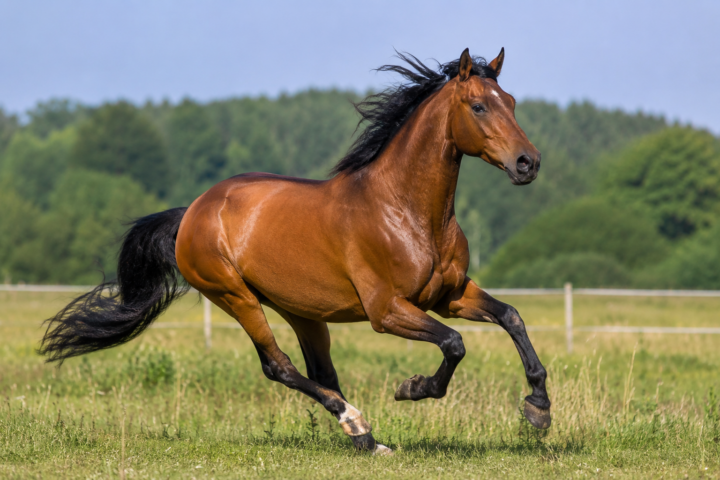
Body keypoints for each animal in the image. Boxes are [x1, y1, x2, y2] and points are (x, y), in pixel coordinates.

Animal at [40, 48, 550, 455]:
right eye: (479, 106)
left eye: (512, 103)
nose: (528, 163)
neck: (406, 211)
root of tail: (192, 212)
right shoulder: (387, 310)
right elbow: (454, 343)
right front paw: (413, 388)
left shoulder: (449, 295)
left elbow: (510, 317)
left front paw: (539, 408)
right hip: (235, 297)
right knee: (279, 366)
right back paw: (356, 422)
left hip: (302, 309)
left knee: (321, 370)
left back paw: (367, 440)